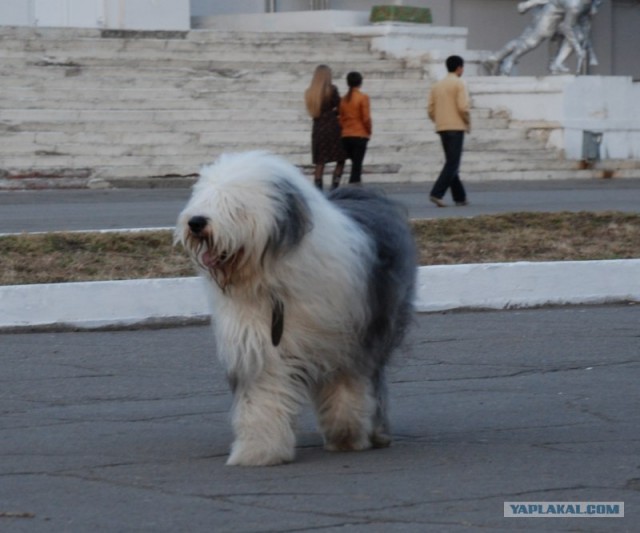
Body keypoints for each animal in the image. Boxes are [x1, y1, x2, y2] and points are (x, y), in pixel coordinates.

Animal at [176, 151, 416, 466]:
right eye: (204, 198)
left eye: (236, 206)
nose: (196, 222)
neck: (273, 281)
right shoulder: (261, 347)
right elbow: (263, 396)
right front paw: (259, 450)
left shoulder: (345, 336)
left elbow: (346, 387)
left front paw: (346, 435)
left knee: (374, 380)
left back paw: (377, 433)